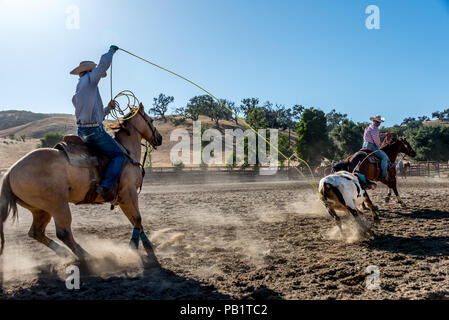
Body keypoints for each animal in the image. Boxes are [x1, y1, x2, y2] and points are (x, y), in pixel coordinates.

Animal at [0, 104, 161, 264]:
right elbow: (137, 218)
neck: (126, 152)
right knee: (63, 233)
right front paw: (136, 246)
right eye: (151, 120)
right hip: (58, 205)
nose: (159, 138)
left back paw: (65, 253)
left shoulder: (122, 198)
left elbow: (135, 220)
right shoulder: (129, 192)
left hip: (40, 209)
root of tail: (10, 172)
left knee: (36, 232)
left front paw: (146, 246)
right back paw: (87, 256)